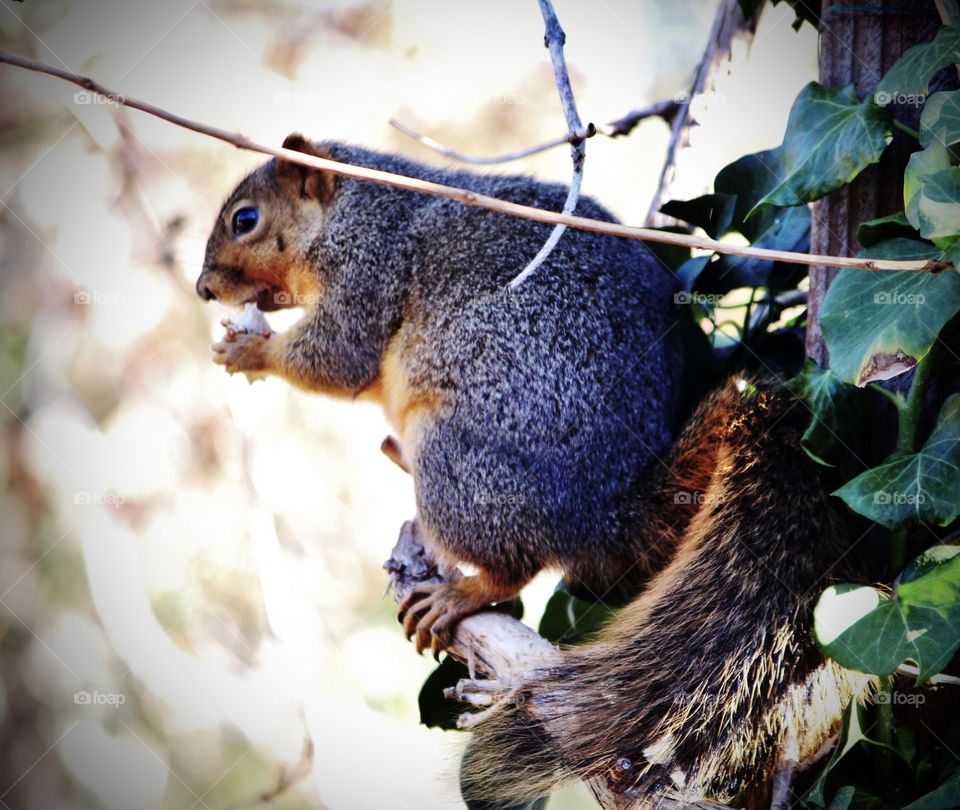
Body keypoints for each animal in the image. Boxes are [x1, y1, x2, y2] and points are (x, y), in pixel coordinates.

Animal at [197, 133, 684, 652]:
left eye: (245, 220)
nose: (203, 288)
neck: (357, 209)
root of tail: (609, 512)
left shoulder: (365, 273)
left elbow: (337, 357)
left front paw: (249, 351)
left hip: (458, 465)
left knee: (514, 564)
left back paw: (460, 594)